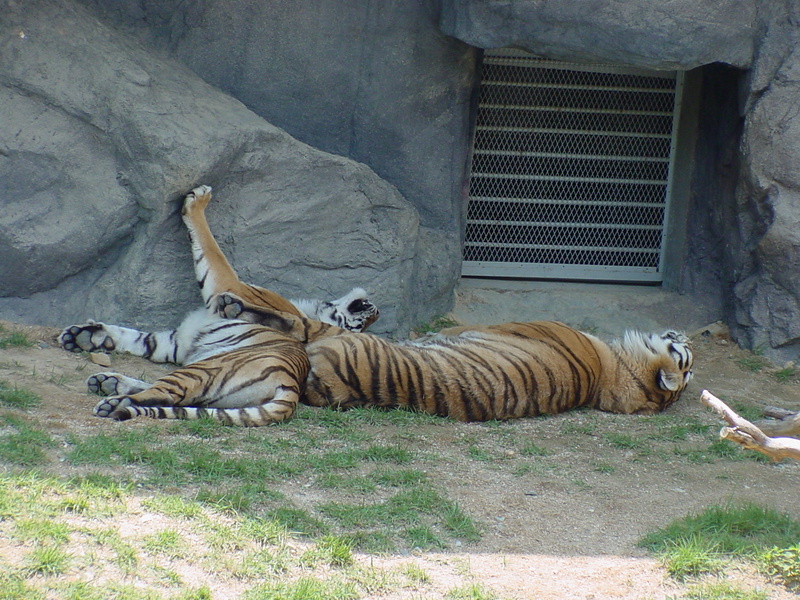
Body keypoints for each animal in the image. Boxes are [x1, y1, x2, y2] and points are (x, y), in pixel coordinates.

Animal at [212, 292, 692, 420]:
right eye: (688, 357)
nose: (683, 331)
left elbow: (448, 329)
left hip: (331, 338)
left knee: (294, 322)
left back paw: (232, 305)